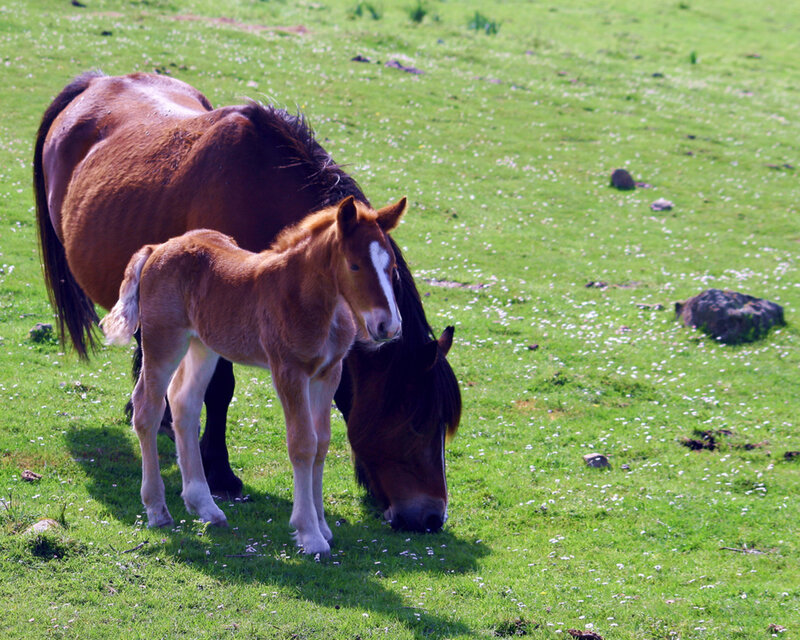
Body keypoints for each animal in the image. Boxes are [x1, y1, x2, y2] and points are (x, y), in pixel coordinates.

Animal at [100, 197, 405, 555]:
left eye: (392, 268)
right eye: (355, 266)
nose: (388, 327)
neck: (312, 301)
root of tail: (157, 247)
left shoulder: (328, 373)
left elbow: (322, 444)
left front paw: (323, 526)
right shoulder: (288, 371)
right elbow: (303, 444)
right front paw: (309, 534)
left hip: (203, 345)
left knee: (184, 404)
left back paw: (206, 507)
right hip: (164, 340)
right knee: (147, 409)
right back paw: (157, 510)